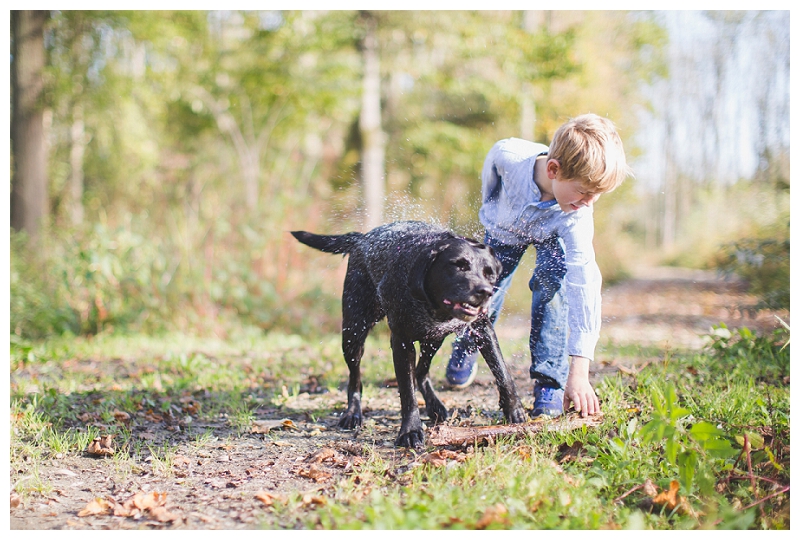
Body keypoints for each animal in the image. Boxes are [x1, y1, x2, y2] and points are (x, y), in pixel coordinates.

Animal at [290, 219, 528, 448]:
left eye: (490, 274)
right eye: (458, 265)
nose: (485, 292)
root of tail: (362, 238)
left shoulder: (483, 329)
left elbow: (503, 373)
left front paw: (515, 411)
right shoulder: (402, 342)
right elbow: (407, 393)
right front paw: (411, 431)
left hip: (432, 340)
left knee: (421, 373)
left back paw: (434, 406)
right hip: (353, 332)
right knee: (355, 377)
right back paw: (352, 413)